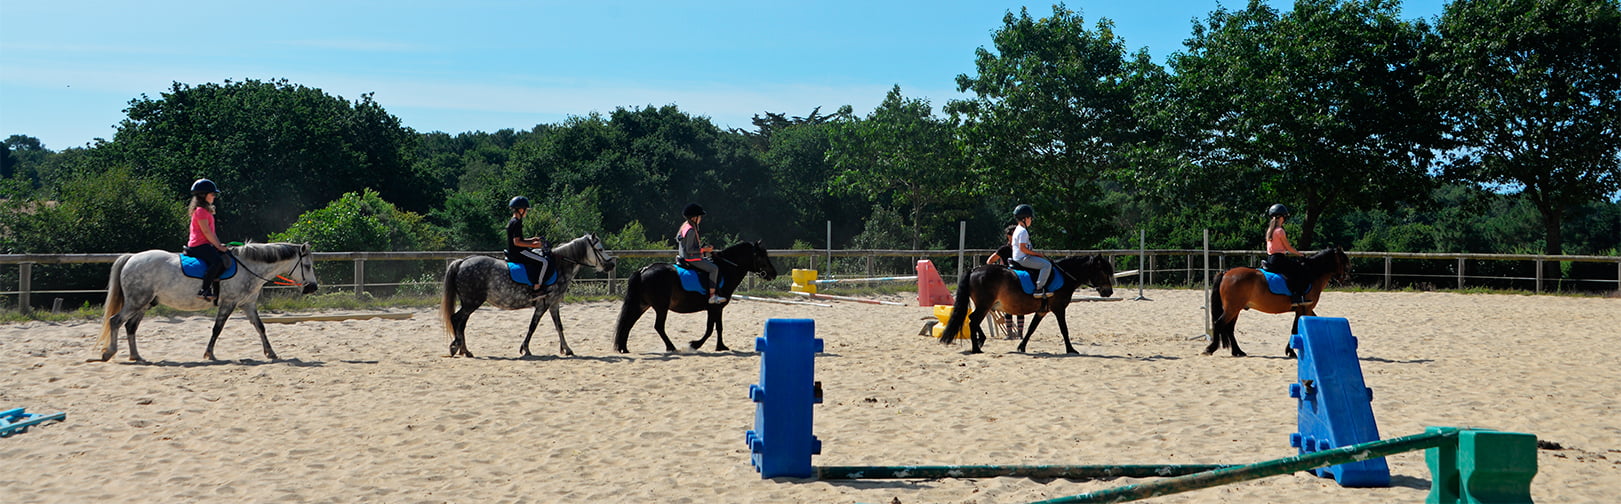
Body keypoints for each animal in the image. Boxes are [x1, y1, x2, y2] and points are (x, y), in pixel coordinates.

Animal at [95, 241, 319, 363]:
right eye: (307, 266)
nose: (313, 287)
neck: (248, 267)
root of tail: (132, 258)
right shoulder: (229, 303)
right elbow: (217, 329)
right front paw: (209, 353)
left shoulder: (247, 304)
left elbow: (260, 327)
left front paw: (270, 352)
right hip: (136, 302)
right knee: (116, 321)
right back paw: (110, 353)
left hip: (144, 303)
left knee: (130, 326)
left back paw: (136, 356)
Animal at [440, 233, 615, 359]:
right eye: (600, 249)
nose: (611, 264)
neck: (559, 266)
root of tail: (462, 262)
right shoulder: (544, 304)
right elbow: (533, 326)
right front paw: (525, 349)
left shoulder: (553, 304)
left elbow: (559, 326)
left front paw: (567, 349)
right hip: (472, 302)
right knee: (456, 319)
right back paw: (455, 346)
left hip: (469, 302)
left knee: (462, 323)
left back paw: (465, 350)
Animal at [612, 241, 778, 353]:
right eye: (762, 256)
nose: (774, 274)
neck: (725, 270)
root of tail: (644, 270)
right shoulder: (713, 308)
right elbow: (710, 329)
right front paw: (695, 344)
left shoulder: (718, 308)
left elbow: (719, 327)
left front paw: (721, 346)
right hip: (661, 307)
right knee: (658, 326)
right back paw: (671, 347)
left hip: (642, 305)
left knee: (629, 323)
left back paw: (624, 348)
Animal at [940, 256, 1115, 354]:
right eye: (1103, 271)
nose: (1109, 292)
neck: (1065, 276)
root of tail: (975, 270)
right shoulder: (1059, 309)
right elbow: (1064, 330)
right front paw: (1071, 349)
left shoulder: (1042, 311)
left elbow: (1031, 329)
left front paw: (1021, 347)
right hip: (985, 304)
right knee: (973, 320)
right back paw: (977, 348)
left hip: (986, 305)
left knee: (972, 319)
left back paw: (980, 341)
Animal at [1206, 247, 1355, 359]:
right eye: (1344, 261)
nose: (1347, 280)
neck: (1311, 274)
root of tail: (1226, 273)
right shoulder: (1303, 308)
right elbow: (1295, 329)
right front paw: (1291, 351)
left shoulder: (1306, 309)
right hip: (1232, 308)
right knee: (1219, 323)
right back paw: (1211, 348)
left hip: (1236, 309)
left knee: (1229, 328)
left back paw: (1238, 351)